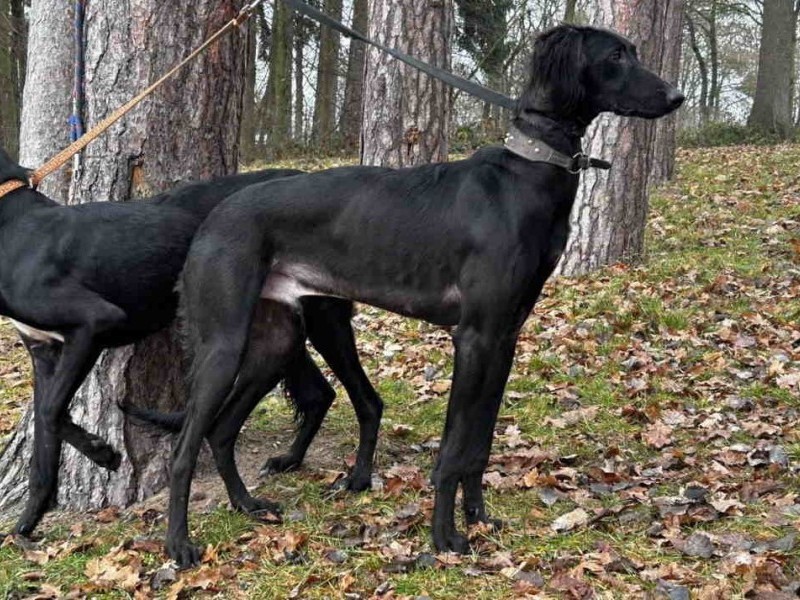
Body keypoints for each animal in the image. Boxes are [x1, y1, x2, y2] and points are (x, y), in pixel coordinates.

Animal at [0, 152, 383, 539]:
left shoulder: (93, 323)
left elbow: (50, 411)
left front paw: (103, 453)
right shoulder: (44, 354)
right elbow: (44, 439)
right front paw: (25, 526)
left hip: (318, 316)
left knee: (360, 396)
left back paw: (354, 477)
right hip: (276, 328)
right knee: (318, 393)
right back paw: (288, 461)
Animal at [164, 24, 685, 566]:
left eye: (633, 51)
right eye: (616, 55)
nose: (677, 97)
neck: (525, 176)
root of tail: (213, 216)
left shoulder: (504, 338)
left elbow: (479, 443)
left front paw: (480, 518)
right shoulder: (473, 337)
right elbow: (452, 451)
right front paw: (446, 538)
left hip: (276, 342)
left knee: (222, 430)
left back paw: (247, 505)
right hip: (225, 343)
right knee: (183, 450)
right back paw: (179, 544)